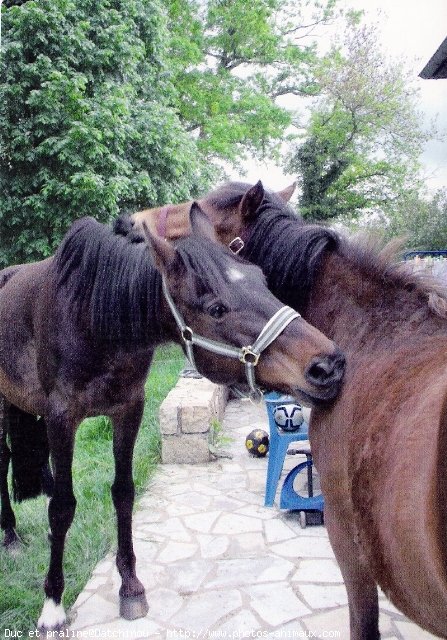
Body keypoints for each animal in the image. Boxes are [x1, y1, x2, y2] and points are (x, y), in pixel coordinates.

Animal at [0, 204, 346, 632]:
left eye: (261, 279)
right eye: (216, 308)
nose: (328, 365)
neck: (92, 317)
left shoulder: (128, 411)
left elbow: (124, 494)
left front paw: (131, 587)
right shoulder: (61, 419)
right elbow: (61, 508)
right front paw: (52, 605)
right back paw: (10, 535)